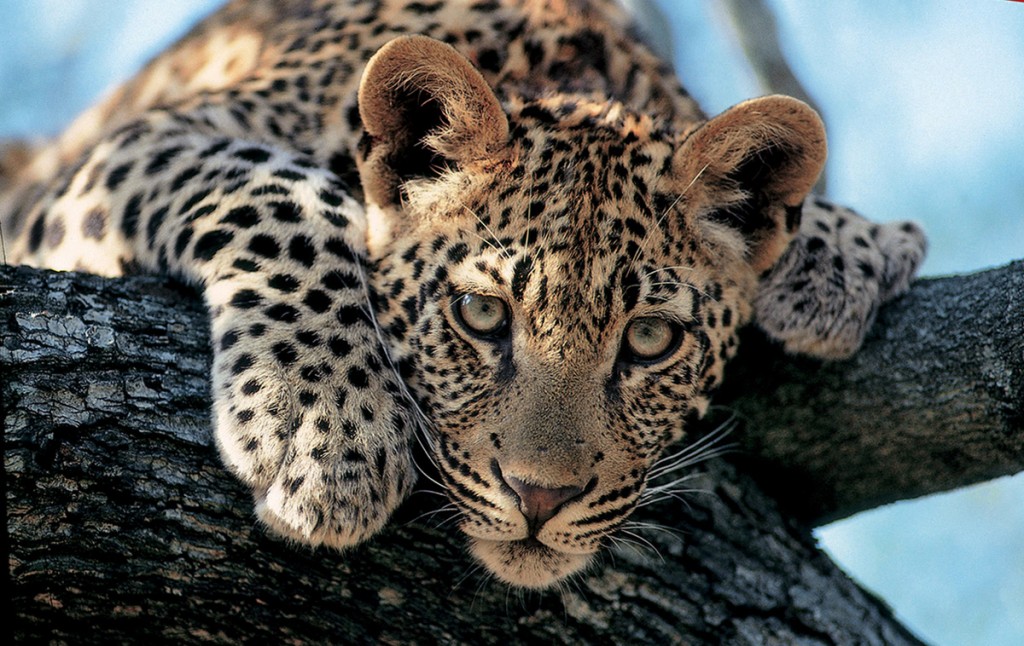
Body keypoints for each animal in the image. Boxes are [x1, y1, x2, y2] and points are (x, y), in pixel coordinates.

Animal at [0, 0, 929, 589]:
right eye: (482, 316)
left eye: (650, 340)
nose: (542, 500)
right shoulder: (128, 151)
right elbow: (285, 193)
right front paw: (325, 428)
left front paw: (845, 248)